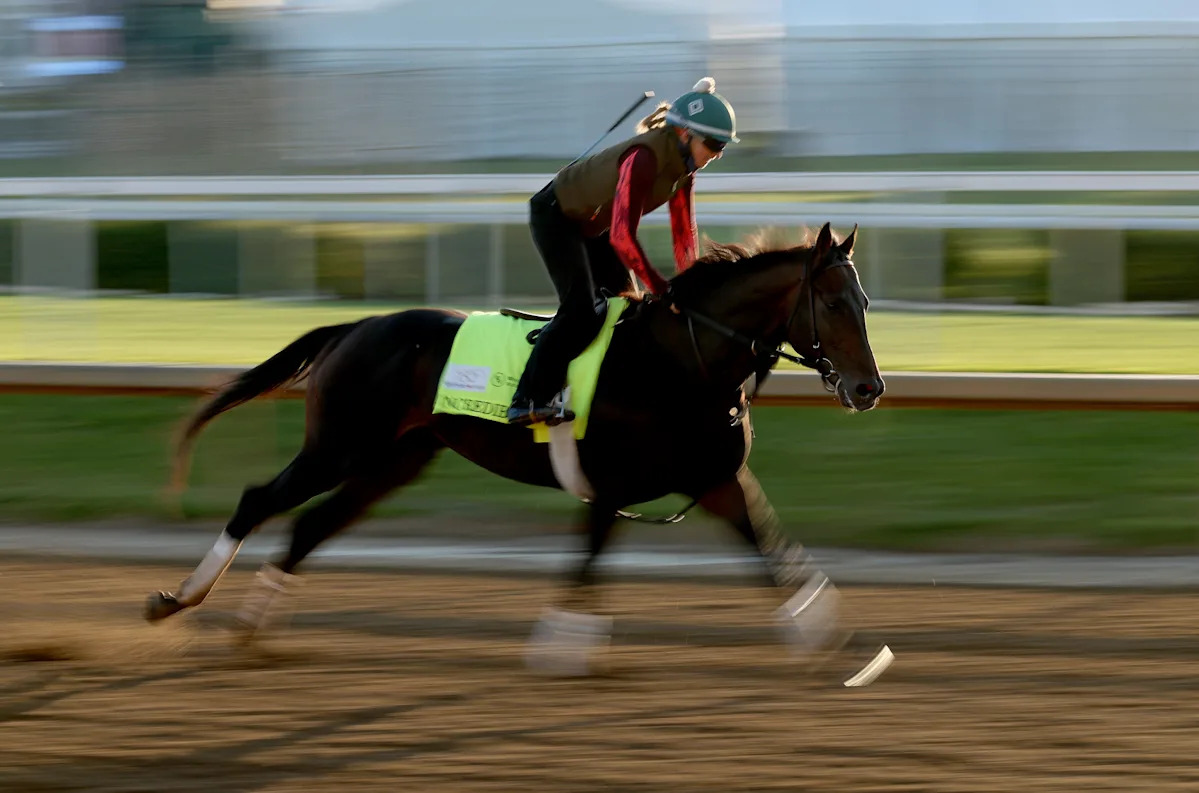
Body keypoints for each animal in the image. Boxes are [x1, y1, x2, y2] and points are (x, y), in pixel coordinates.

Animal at [145, 221, 885, 676]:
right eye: (832, 302)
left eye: (865, 300)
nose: (870, 387)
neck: (681, 362)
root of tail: (354, 327)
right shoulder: (611, 485)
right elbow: (587, 564)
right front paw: (560, 650)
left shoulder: (715, 480)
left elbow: (772, 551)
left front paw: (837, 646)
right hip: (339, 447)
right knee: (259, 500)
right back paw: (176, 600)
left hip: (391, 461)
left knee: (309, 526)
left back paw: (253, 629)